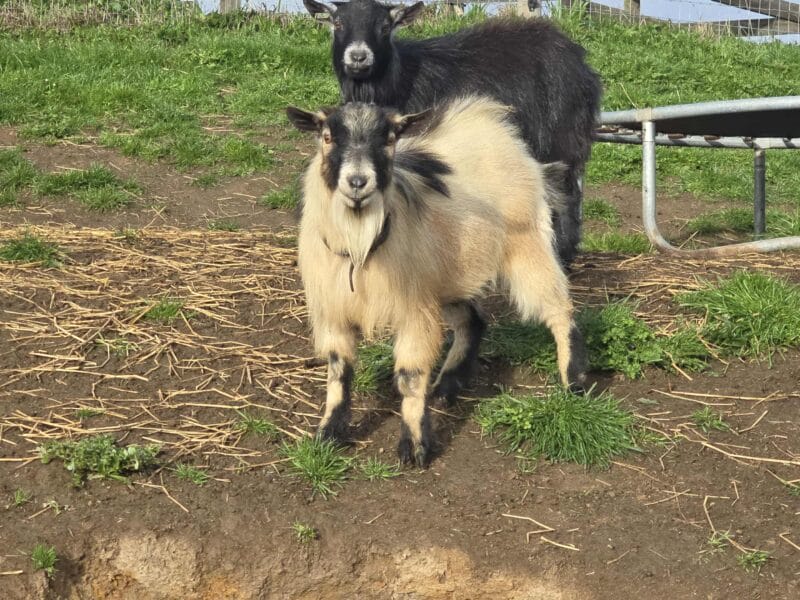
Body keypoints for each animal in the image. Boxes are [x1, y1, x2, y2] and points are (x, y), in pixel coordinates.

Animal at [287, 96, 588, 467]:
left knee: (560, 309)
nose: (358, 182)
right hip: (447, 276)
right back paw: (448, 385)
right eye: (326, 136)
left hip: (527, 247)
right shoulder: (333, 310)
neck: (360, 248)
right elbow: (339, 372)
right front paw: (329, 433)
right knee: (473, 321)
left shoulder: (414, 310)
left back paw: (574, 380)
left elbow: (410, 375)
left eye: (390, 138)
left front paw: (415, 447)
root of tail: (498, 132)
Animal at [303, 0, 603, 266]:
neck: (399, 80)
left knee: (566, 192)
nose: (358, 56)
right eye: (338, 23)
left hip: (562, 135)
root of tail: (579, 60)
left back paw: (563, 252)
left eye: (385, 26)